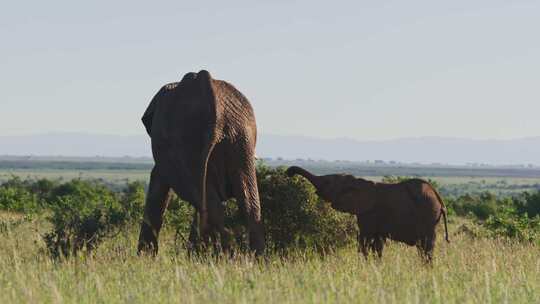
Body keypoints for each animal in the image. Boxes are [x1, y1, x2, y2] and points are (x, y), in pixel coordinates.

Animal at [138, 70, 264, 255]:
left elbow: (158, 184)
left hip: (190, 141)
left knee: (207, 205)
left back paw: (223, 255)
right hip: (240, 137)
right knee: (248, 204)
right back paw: (252, 257)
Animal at [284, 166, 450, 262]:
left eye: (327, 183)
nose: (288, 173)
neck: (357, 182)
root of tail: (440, 201)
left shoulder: (368, 213)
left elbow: (364, 241)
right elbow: (377, 244)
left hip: (428, 216)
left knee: (426, 247)